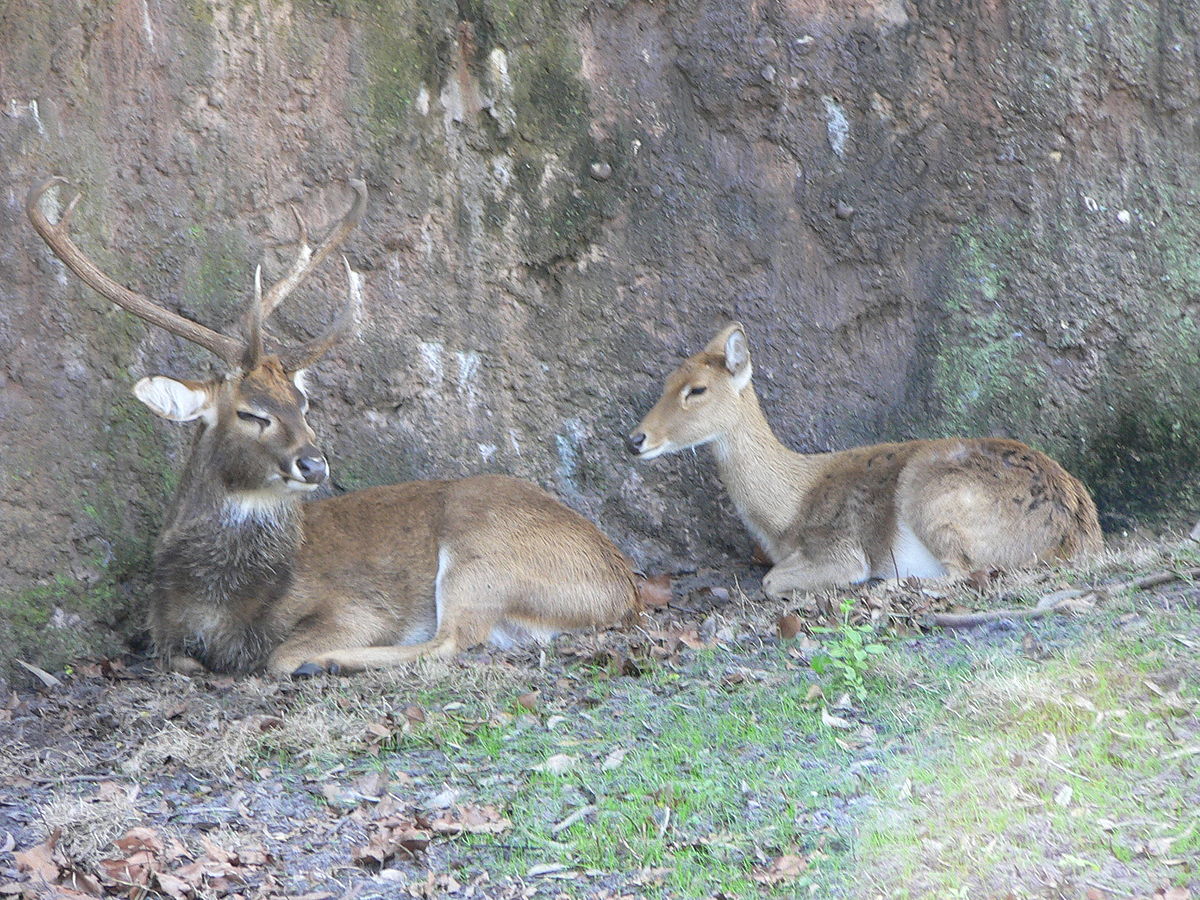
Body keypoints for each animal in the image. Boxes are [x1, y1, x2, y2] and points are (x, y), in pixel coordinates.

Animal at [28, 177, 638, 676]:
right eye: (252, 412)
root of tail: (621, 590)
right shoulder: (164, 636)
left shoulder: (356, 606)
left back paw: (325, 663)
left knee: (450, 639)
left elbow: (277, 654)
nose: (314, 463)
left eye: (302, 403)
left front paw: (304, 656)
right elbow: (182, 660)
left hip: (484, 550)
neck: (217, 601)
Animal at [633, 324, 1099, 600]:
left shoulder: (841, 548)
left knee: (962, 571)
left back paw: (891, 583)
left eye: (697, 389)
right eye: (667, 381)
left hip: (933, 495)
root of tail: (1075, 534)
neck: (786, 514)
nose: (637, 438)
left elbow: (772, 580)